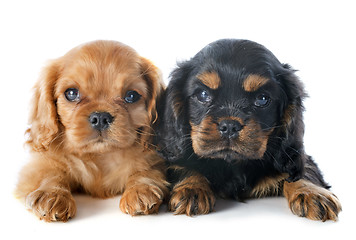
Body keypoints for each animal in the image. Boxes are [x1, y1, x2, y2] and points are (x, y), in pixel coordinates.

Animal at [15, 40, 168, 222]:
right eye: (71, 93)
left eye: (131, 96)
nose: (101, 117)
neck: (100, 156)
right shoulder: (39, 165)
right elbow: (51, 174)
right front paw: (52, 195)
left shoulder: (152, 161)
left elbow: (144, 171)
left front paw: (140, 190)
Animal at [156, 39, 342, 221]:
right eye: (202, 95)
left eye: (262, 99)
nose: (229, 126)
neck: (233, 162)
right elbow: (181, 166)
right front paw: (192, 188)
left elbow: (303, 171)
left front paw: (312, 193)